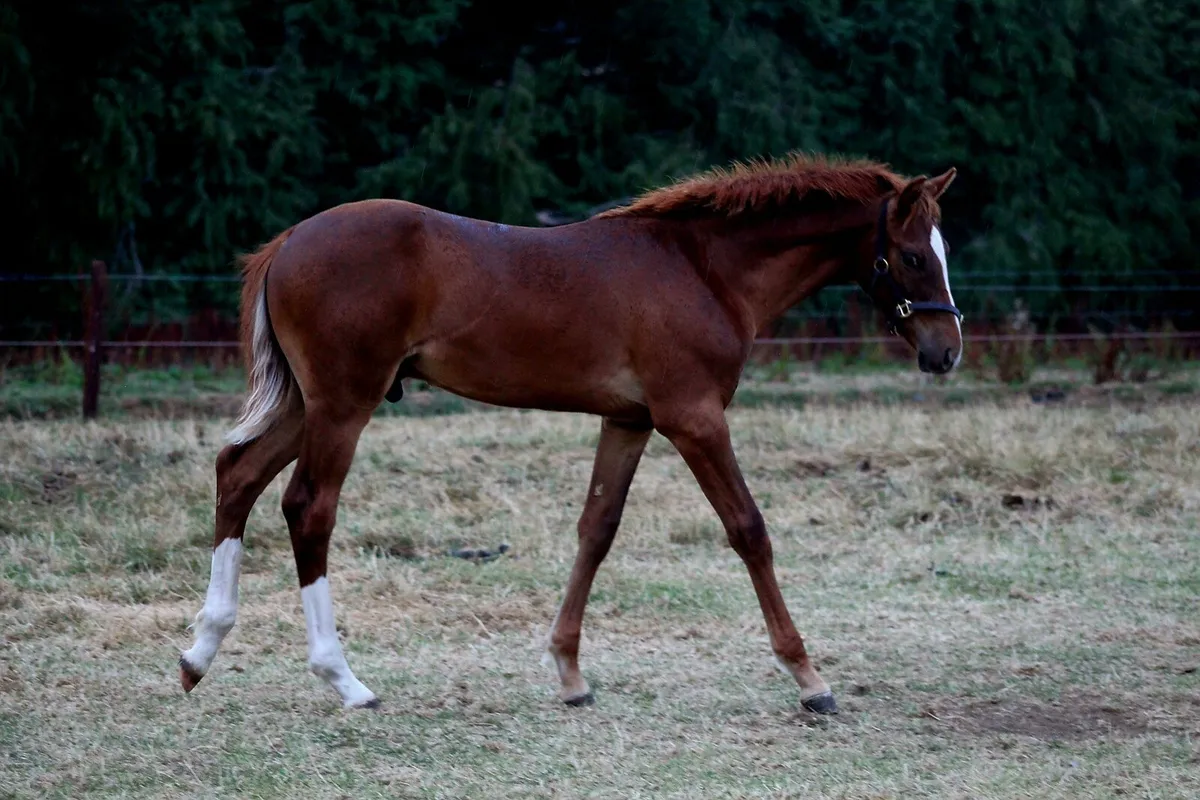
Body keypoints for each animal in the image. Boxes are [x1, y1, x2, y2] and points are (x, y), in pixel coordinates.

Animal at [179, 154, 962, 716]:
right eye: (914, 256)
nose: (946, 351)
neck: (703, 269)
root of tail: (288, 241)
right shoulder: (694, 417)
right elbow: (748, 529)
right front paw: (808, 677)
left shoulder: (630, 420)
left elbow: (597, 529)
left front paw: (569, 673)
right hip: (343, 403)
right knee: (307, 508)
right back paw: (344, 680)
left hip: (306, 404)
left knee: (236, 474)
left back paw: (198, 654)